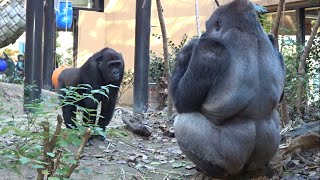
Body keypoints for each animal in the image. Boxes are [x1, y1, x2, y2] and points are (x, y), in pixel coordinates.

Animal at [170, 0, 284, 178]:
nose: (203, 34)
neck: (247, 30)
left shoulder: (209, 50)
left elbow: (183, 103)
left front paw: (187, 50)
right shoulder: (274, 44)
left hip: (232, 158)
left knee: (184, 122)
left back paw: (212, 171)